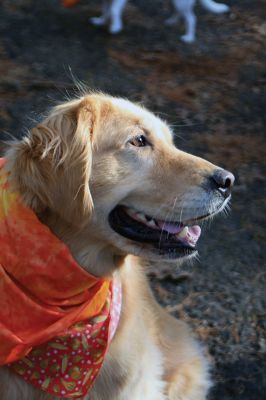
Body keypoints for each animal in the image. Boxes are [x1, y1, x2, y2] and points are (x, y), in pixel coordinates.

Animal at [90, 0, 230, 43]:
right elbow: (105, 11)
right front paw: (100, 21)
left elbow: (113, 10)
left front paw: (116, 27)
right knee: (179, 14)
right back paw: (171, 22)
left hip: (181, 3)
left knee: (191, 19)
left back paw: (189, 37)